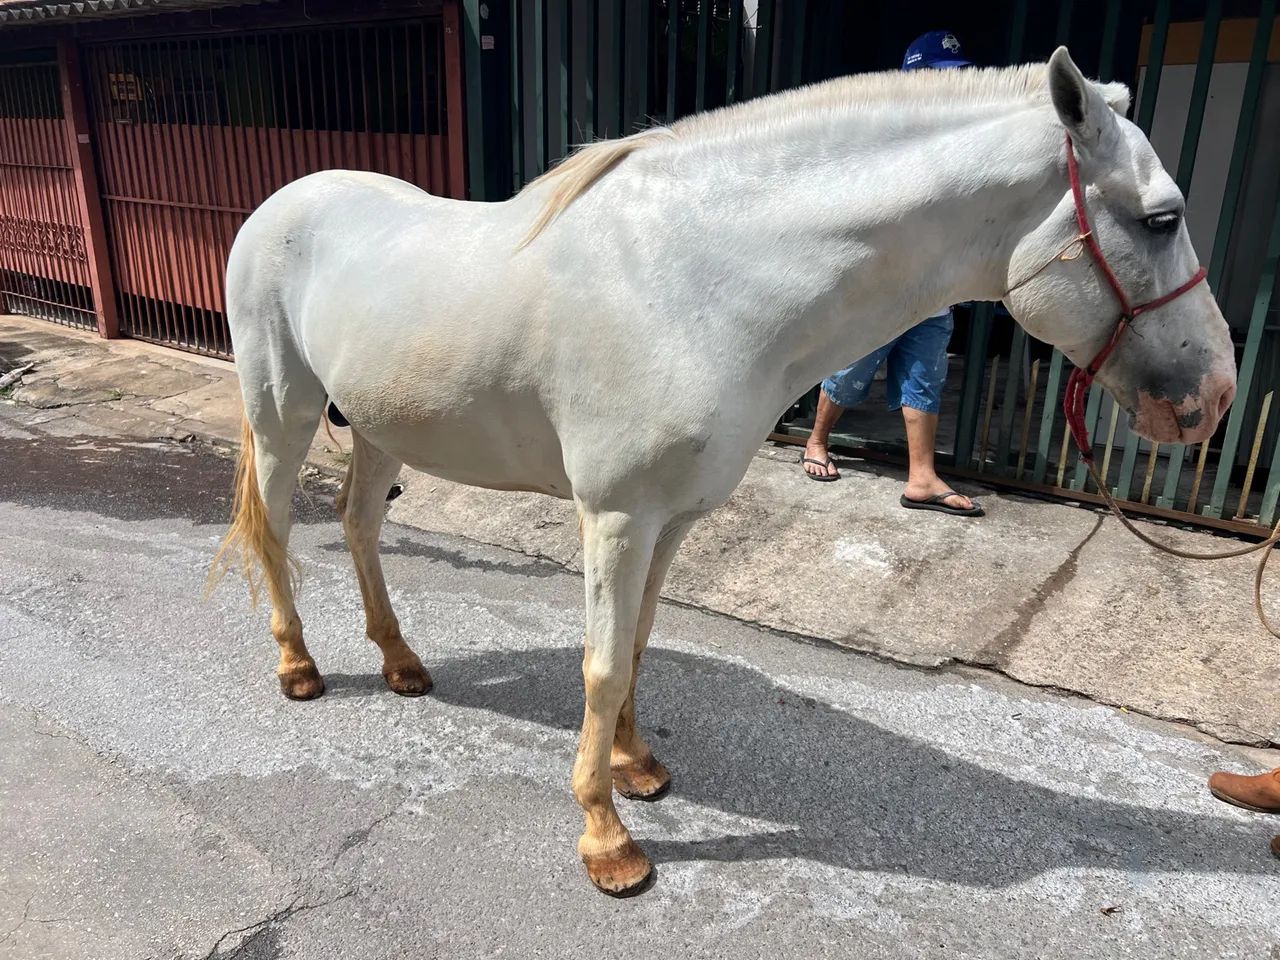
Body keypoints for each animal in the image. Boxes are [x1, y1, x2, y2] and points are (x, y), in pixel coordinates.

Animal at [211, 48, 1236, 896]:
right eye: (1163, 218)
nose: (1215, 396)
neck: (700, 279)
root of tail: (278, 204)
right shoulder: (617, 517)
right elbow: (598, 666)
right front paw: (607, 840)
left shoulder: (673, 519)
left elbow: (634, 649)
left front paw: (636, 770)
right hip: (284, 414)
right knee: (278, 527)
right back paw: (300, 666)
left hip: (382, 426)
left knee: (357, 525)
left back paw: (401, 663)